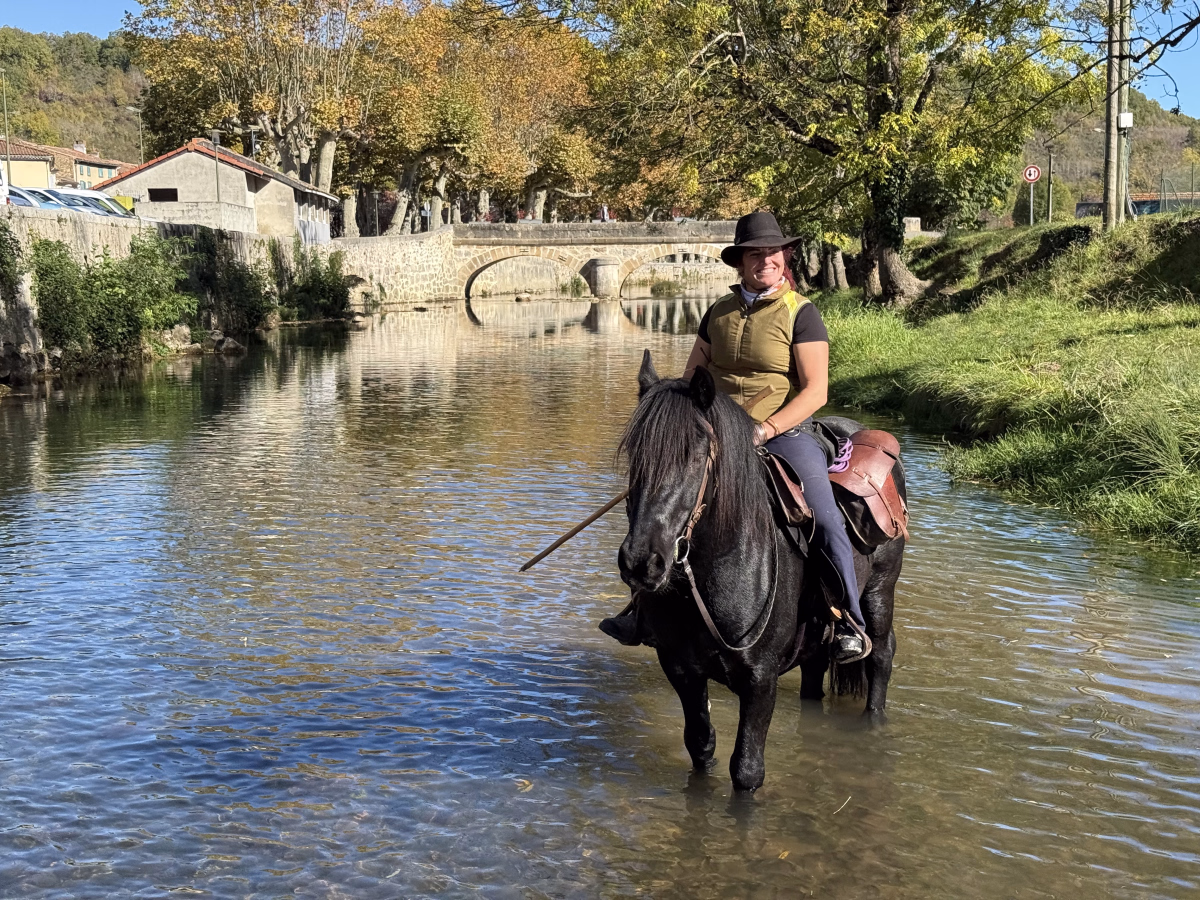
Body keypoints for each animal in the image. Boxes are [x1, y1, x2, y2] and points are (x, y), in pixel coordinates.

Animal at [617, 351, 906, 792]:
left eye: (695, 455)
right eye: (635, 452)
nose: (640, 562)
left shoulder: (760, 679)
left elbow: (747, 769)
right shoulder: (680, 668)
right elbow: (700, 745)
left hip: (880, 590)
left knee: (881, 655)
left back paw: (873, 722)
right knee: (816, 669)